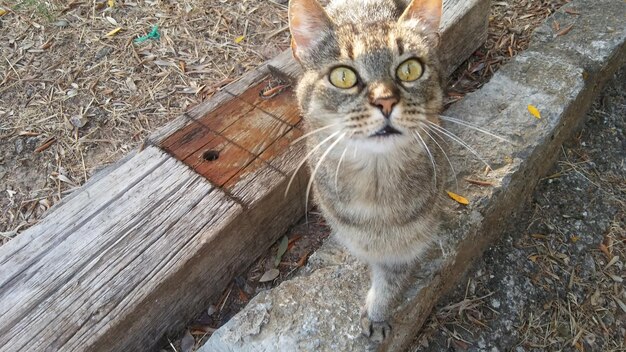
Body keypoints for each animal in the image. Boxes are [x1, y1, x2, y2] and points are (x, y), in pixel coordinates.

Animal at [286, 0, 446, 342]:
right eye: (343, 76)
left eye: (410, 69)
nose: (385, 101)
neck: (375, 185)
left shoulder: (406, 247)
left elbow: (390, 283)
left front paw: (378, 314)